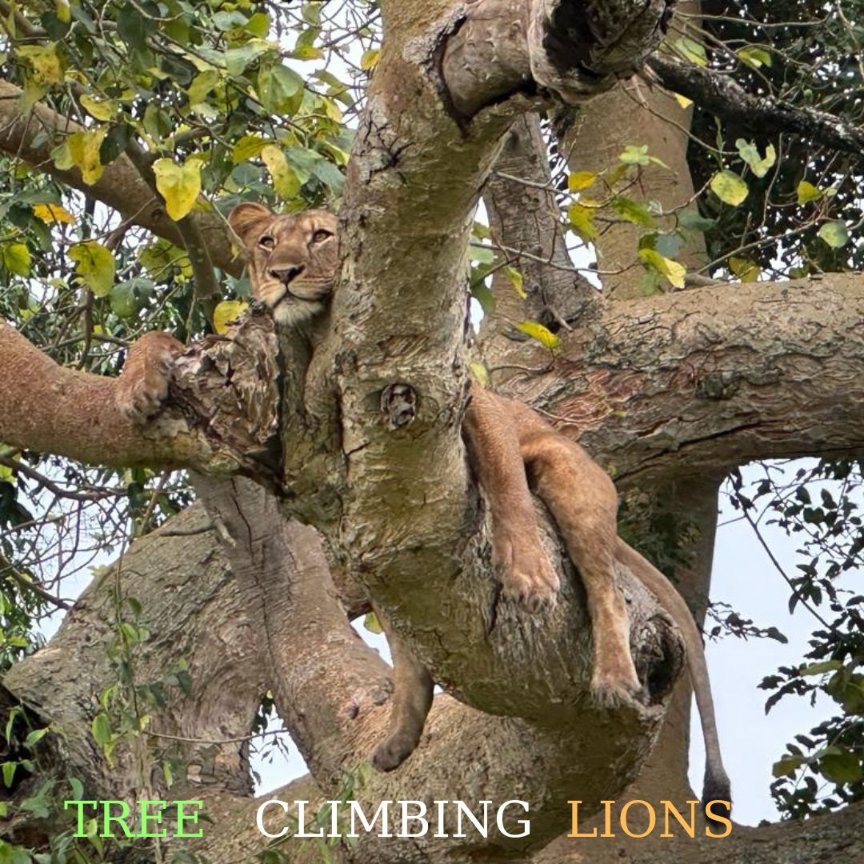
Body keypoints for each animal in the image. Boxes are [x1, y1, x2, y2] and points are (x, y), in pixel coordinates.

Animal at [116, 202, 731, 815]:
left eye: (321, 235)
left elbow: (506, 486)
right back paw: (399, 738)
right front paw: (135, 389)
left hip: (569, 477)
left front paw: (529, 574)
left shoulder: (468, 399)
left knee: (602, 581)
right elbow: (158, 338)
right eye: (267, 241)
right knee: (409, 645)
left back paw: (612, 677)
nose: (284, 273)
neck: (311, 335)